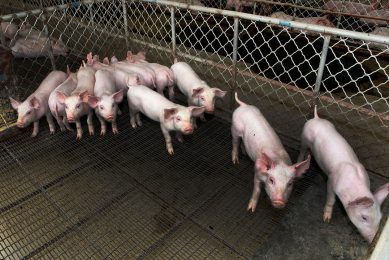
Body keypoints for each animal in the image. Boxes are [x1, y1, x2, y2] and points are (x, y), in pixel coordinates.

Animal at [298, 105, 388, 244]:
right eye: (364, 217)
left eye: (380, 218)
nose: (372, 240)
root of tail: (316, 118)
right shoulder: (331, 180)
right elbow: (331, 199)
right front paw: (326, 220)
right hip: (304, 137)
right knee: (302, 150)